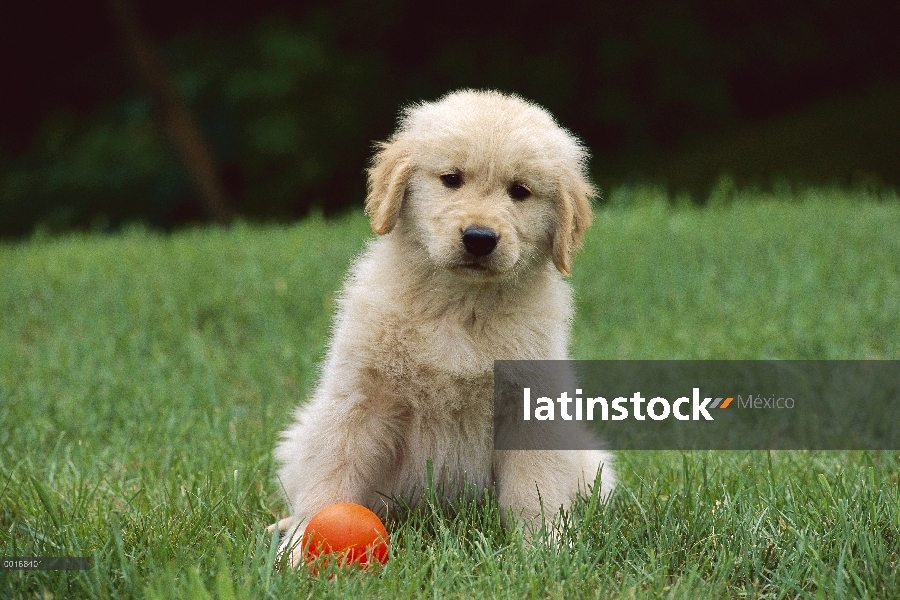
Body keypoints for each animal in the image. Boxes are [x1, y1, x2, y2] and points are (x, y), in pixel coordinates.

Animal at [272, 89, 612, 564]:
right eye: (452, 179)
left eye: (520, 191)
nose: (480, 239)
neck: (461, 307)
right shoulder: (359, 400)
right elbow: (333, 476)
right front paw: (303, 544)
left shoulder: (530, 409)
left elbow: (534, 488)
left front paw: (541, 550)